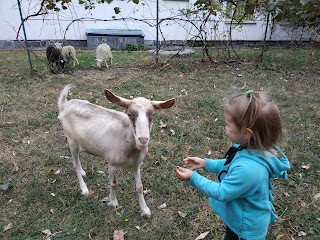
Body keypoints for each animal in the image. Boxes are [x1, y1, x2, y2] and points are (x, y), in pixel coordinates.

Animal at [58, 84, 176, 218]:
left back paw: (83, 172)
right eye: (129, 114)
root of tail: (65, 105)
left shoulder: (136, 165)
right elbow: (113, 183)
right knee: (75, 163)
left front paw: (145, 210)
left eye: (153, 115)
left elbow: (140, 187)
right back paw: (84, 188)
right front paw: (113, 202)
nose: (143, 140)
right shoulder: (112, 163)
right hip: (71, 140)